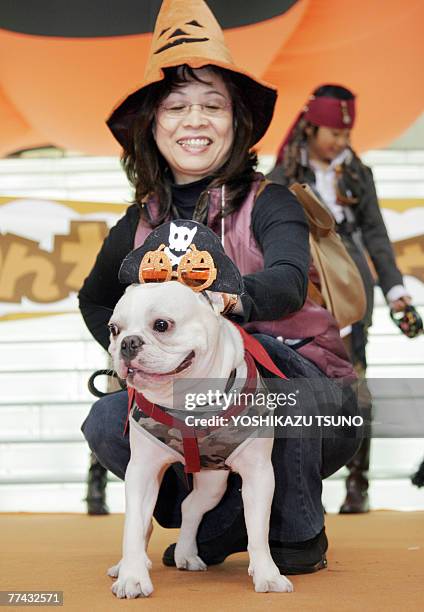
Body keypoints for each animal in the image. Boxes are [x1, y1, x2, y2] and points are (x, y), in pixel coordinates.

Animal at [107, 284, 292, 596]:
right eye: (113, 330)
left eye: (162, 325)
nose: (128, 342)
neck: (186, 400)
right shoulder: (142, 472)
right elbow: (133, 526)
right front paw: (132, 577)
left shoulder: (260, 474)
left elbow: (258, 530)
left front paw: (268, 574)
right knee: (147, 522)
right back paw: (128, 564)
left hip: (213, 485)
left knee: (190, 506)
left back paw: (186, 554)